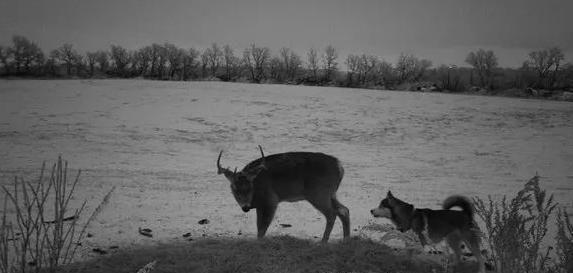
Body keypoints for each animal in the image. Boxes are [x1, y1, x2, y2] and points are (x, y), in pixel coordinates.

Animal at [214, 146, 348, 241]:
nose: (245, 207)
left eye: (250, 187)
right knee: (344, 210)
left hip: (319, 193)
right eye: (234, 188)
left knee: (332, 214)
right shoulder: (260, 206)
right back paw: (346, 240)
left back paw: (323, 242)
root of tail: (340, 167)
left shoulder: (271, 200)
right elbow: (259, 227)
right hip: (330, 194)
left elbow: (262, 229)